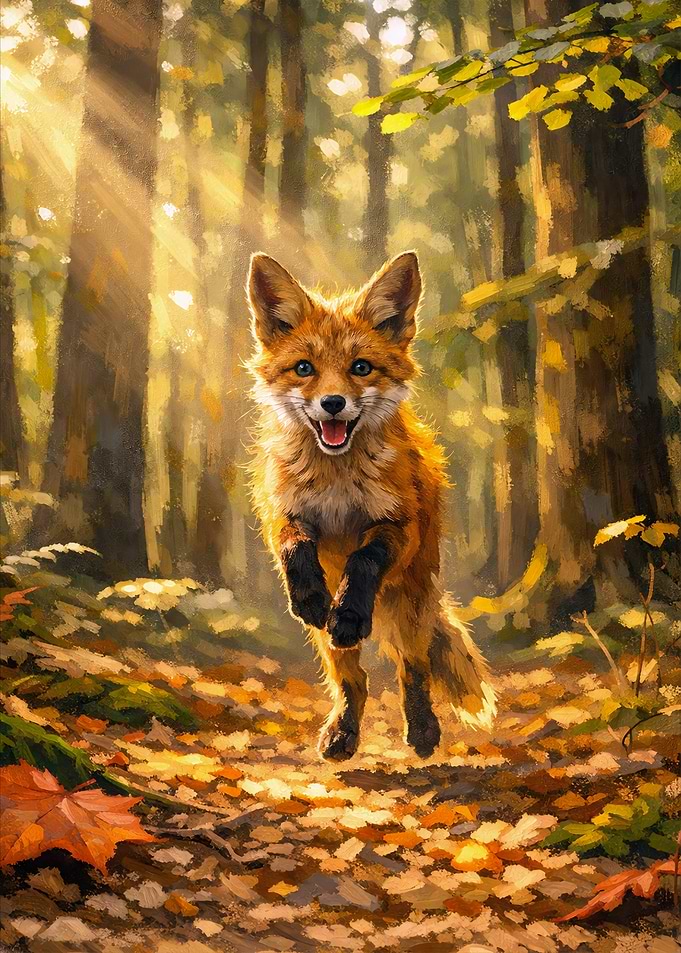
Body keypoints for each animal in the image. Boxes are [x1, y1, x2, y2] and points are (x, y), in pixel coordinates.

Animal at [246, 250, 496, 761]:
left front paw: (350, 610)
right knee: (354, 680)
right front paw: (310, 595)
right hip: (330, 641)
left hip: (411, 604)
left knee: (412, 668)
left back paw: (422, 731)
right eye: (304, 368)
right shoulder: (284, 512)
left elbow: (364, 558)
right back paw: (342, 732)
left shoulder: (398, 525)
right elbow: (294, 547)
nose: (333, 403)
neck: (337, 482)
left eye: (361, 367)